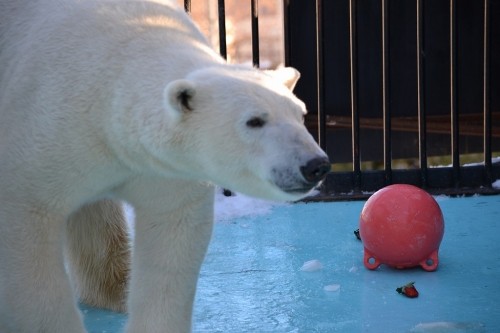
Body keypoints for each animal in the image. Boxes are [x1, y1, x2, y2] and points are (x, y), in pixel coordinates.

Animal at [0, 0, 330, 332]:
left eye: (300, 114)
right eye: (254, 121)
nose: (315, 165)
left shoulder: (166, 169)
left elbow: (170, 240)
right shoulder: (44, 134)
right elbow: (29, 238)